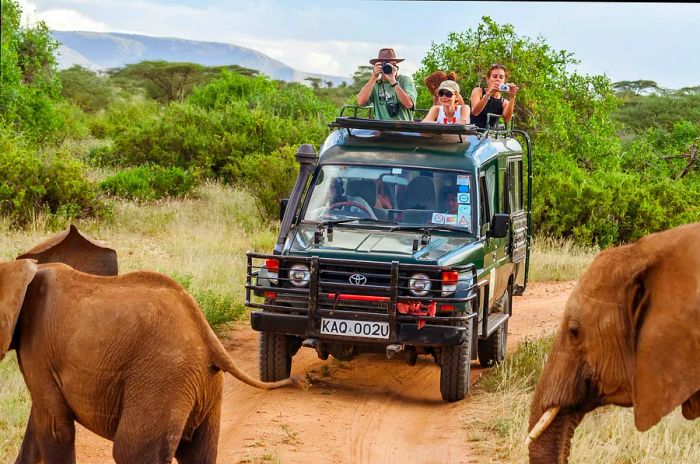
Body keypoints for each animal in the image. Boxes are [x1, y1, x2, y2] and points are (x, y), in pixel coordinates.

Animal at [0, 260, 296, 464]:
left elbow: (54, 429)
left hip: (162, 380)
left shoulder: (39, 351)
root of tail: (206, 332)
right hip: (201, 384)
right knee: (198, 454)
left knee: (130, 451)